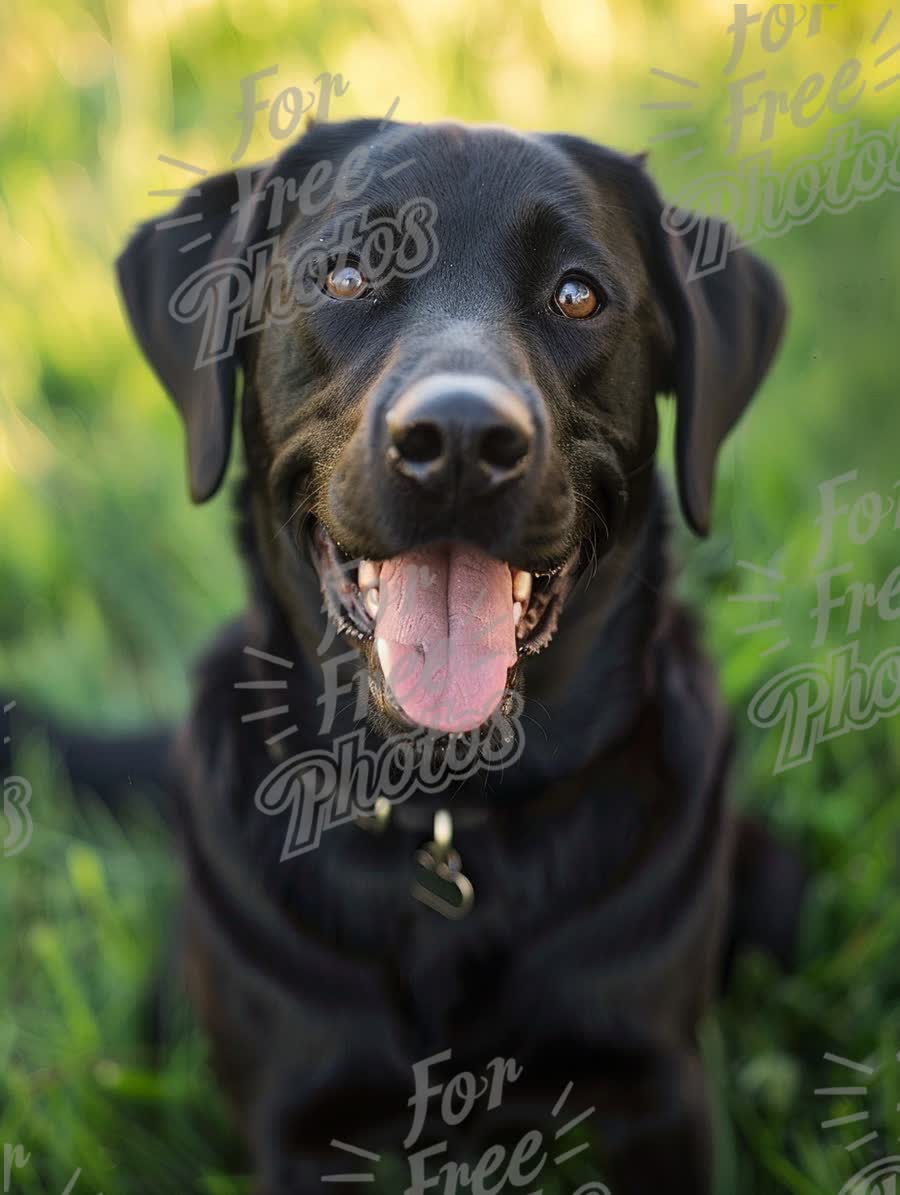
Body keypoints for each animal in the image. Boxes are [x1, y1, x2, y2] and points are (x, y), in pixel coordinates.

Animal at [110, 121, 798, 1195]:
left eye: (577, 294)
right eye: (347, 274)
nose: (464, 438)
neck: (446, 807)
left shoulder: (659, 1091)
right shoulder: (298, 1120)